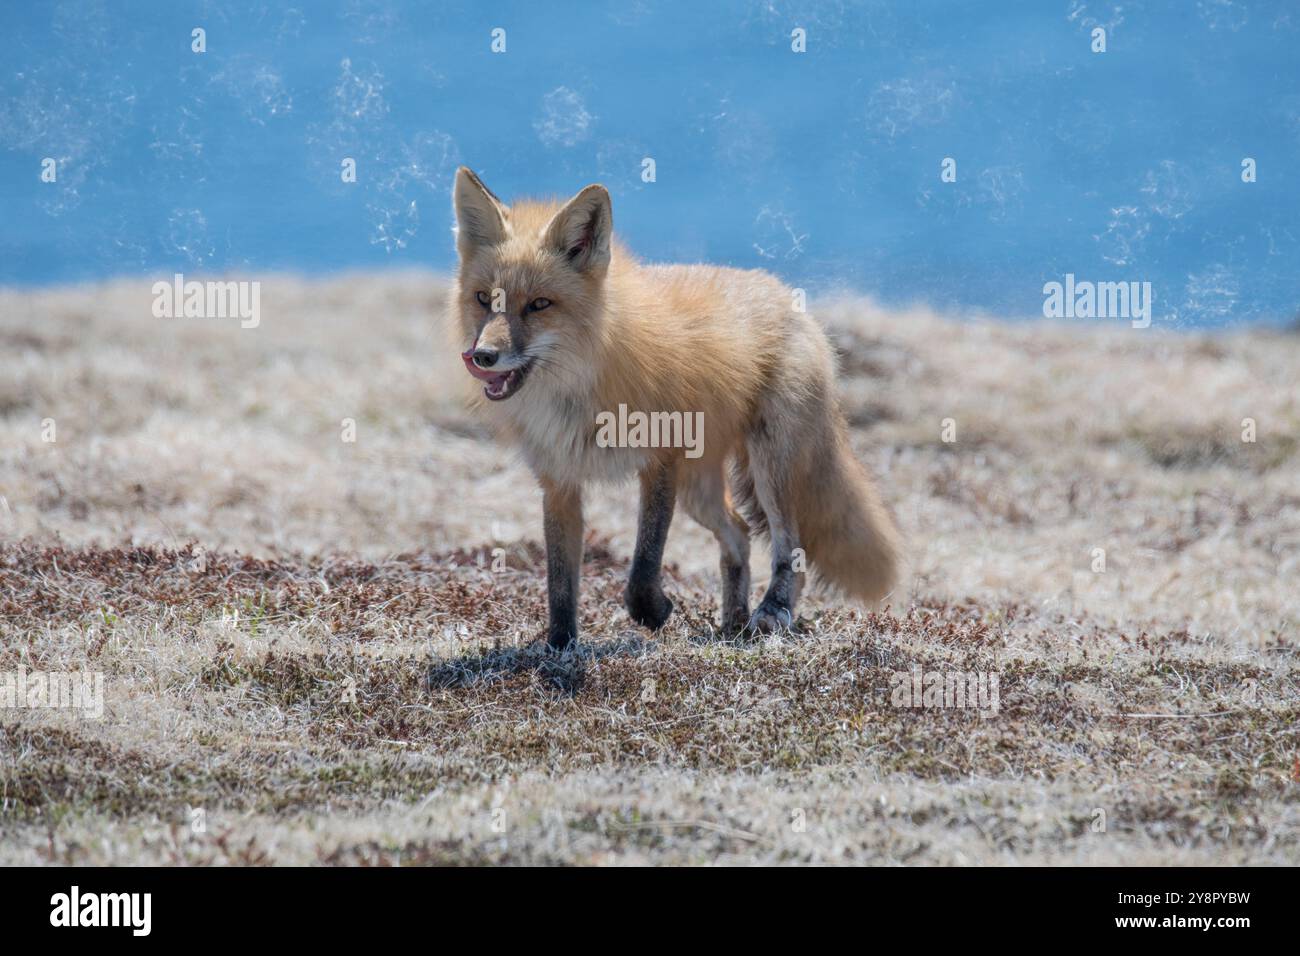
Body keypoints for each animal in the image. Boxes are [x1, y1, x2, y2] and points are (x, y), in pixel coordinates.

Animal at [449, 166, 902, 649]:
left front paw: (652, 611)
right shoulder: (559, 482)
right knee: (740, 533)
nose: (483, 356)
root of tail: (783, 292)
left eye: (538, 305)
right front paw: (559, 647)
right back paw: (733, 624)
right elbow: (560, 581)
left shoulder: (662, 459)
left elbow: (645, 561)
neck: (577, 389)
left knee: (790, 550)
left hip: (768, 467)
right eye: (483, 299)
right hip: (699, 491)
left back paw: (771, 611)